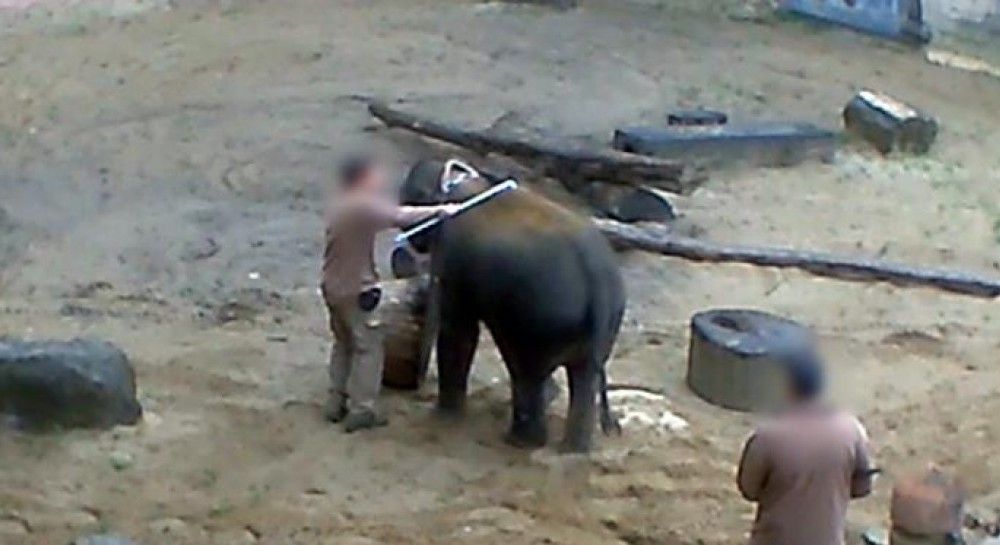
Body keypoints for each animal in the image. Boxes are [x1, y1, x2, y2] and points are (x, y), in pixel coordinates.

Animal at [399, 159, 626, 453]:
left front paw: (444, 418)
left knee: (527, 369)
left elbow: (458, 329)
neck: (466, 184)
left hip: (540, 316)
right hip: (605, 321)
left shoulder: (451, 254)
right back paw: (572, 449)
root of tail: (598, 279)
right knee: (583, 376)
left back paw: (522, 441)